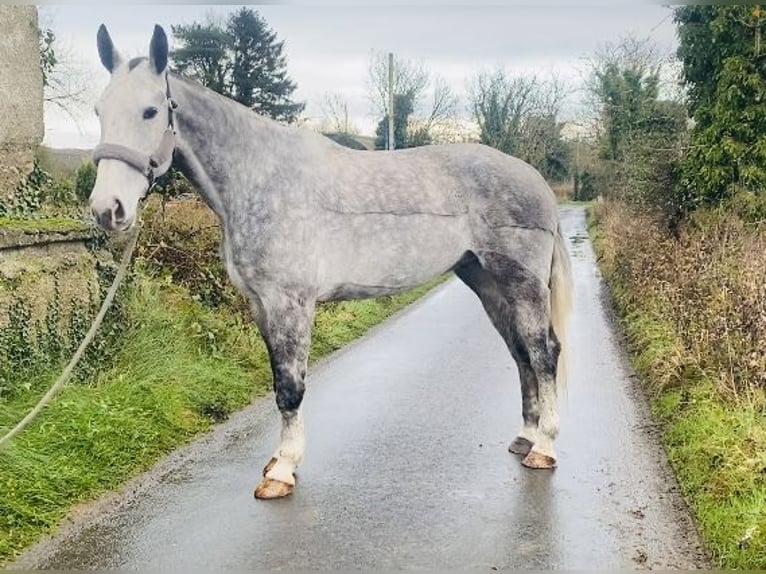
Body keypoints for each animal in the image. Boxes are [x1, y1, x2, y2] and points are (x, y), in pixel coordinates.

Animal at [90, 24, 576, 500]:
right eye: (98, 110)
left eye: (150, 111)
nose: (107, 209)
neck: (260, 178)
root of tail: (536, 180)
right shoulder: (261, 305)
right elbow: (279, 381)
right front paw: (278, 458)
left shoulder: (290, 303)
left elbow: (291, 387)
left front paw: (282, 470)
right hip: (487, 282)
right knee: (520, 352)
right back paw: (526, 436)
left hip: (523, 284)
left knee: (543, 352)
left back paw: (545, 447)